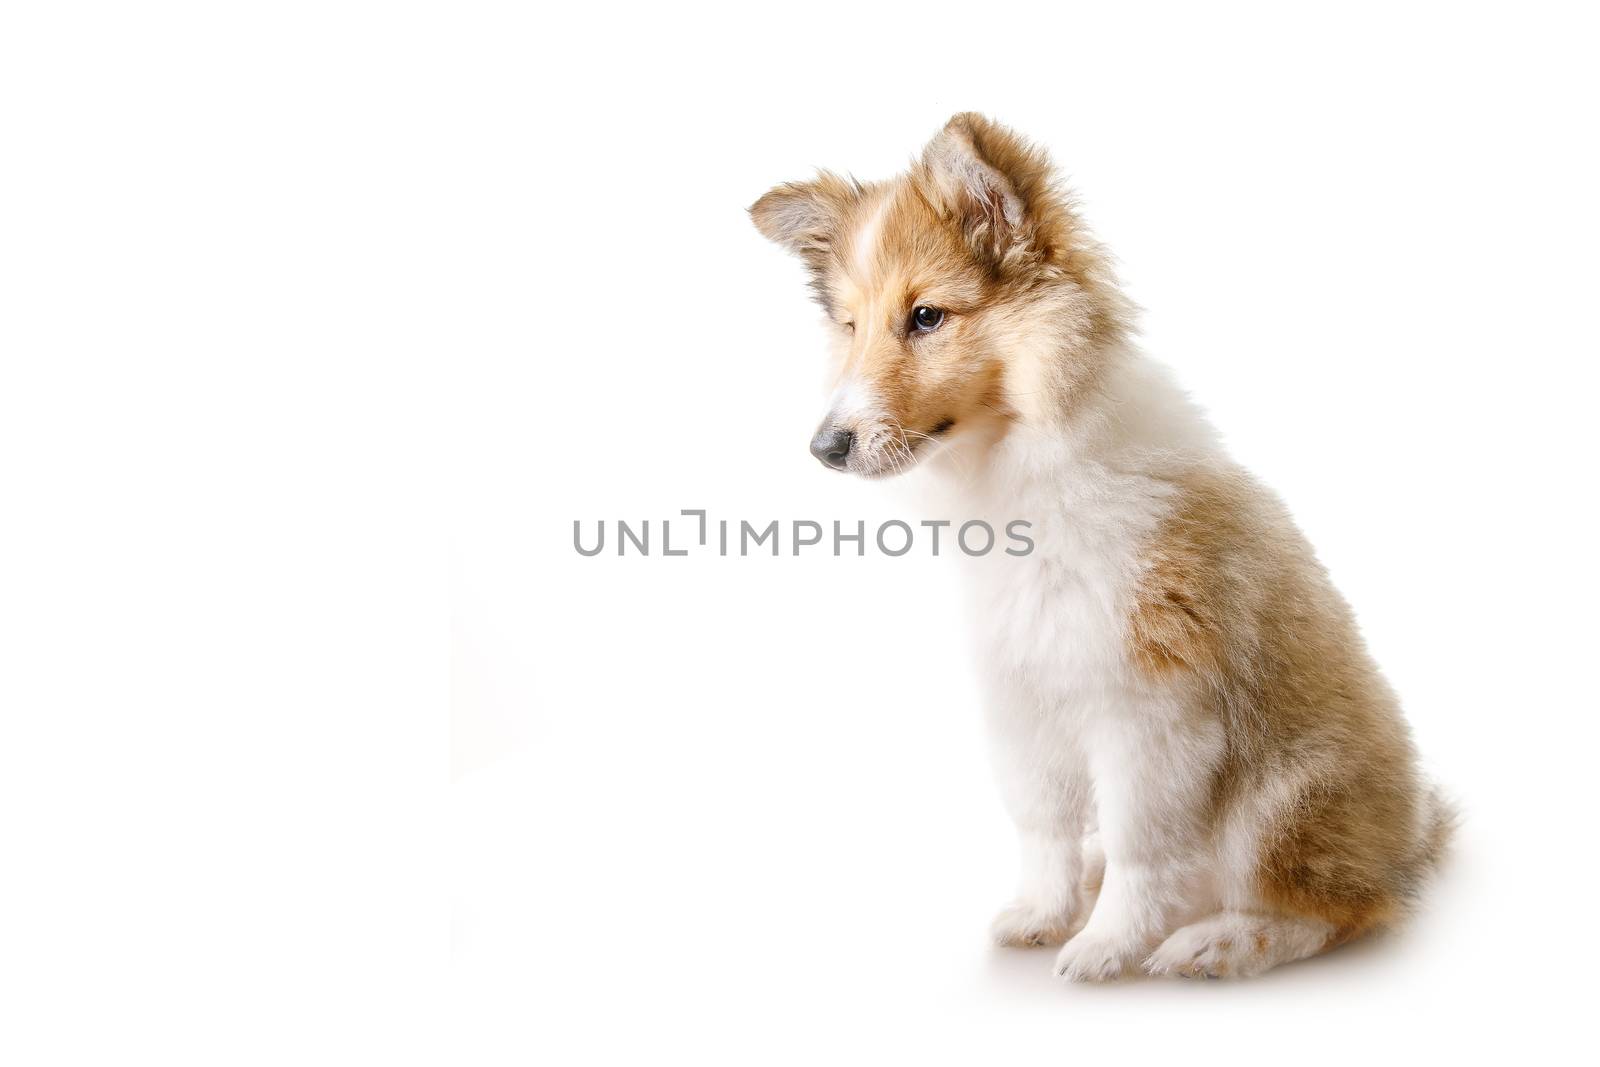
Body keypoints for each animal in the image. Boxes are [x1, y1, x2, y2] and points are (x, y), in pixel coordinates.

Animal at [748, 115, 1452, 979]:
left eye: (927, 317)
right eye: (849, 325)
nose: (825, 447)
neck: (1022, 471)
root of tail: (1415, 838)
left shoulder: (1148, 708)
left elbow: (1137, 842)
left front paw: (1107, 946)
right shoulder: (1024, 697)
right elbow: (1043, 823)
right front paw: (1046, 913)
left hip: (1284, 796)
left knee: (1344, 907)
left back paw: (1215, 941)